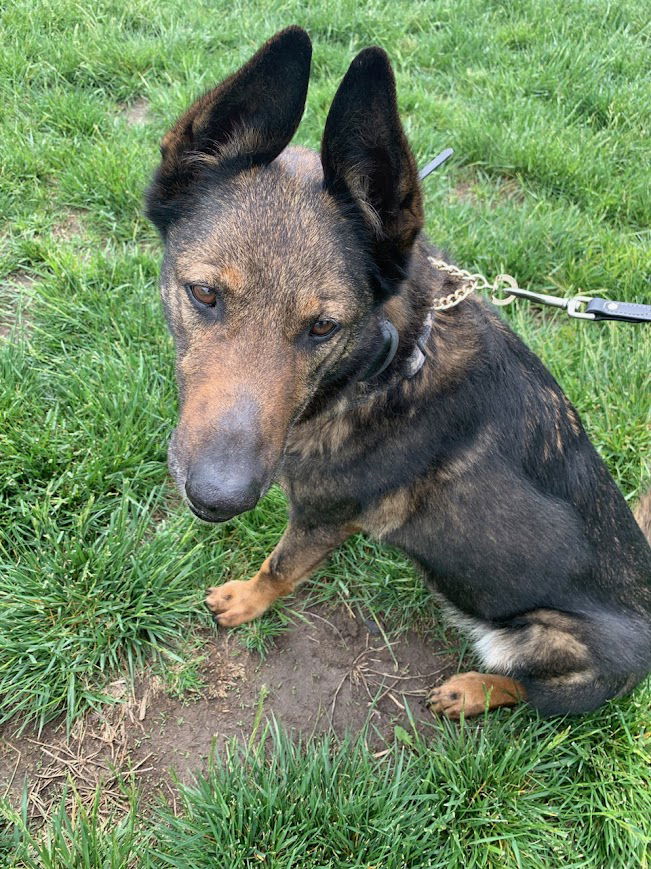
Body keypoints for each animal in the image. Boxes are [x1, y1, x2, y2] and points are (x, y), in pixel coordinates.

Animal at [148, 27, 651, 720]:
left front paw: (247, 601)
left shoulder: (323, 518)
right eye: (203, 294)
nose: (217, 499)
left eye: (323, 327)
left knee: (528, 688)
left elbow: (279, 566)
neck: (384, 366)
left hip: (556, 643)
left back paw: (471, 690)